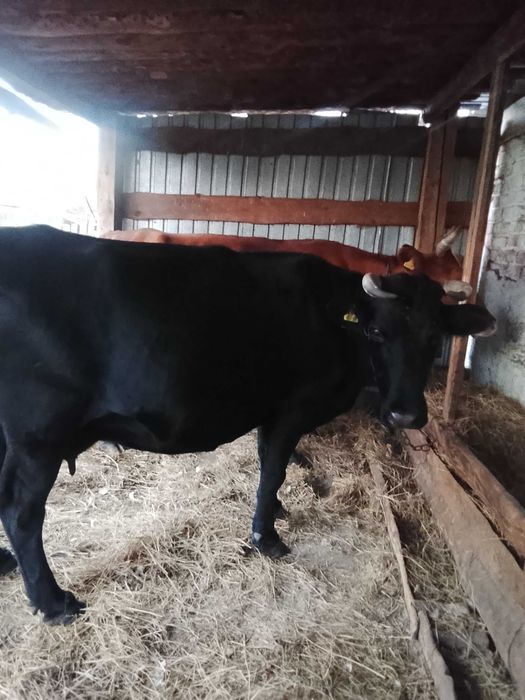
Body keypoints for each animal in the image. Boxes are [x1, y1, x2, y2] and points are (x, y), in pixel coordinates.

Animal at [0, 225, 495, 624]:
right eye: (377, 332)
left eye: (436, 336)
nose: (405, 415)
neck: (332, 318)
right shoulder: (291, 409)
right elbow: (274, 467)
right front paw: (266, 536)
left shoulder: (269, 412)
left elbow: (267, 466)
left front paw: (275, 510)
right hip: (38, 437)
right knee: (21, 514)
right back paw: (53, 602)